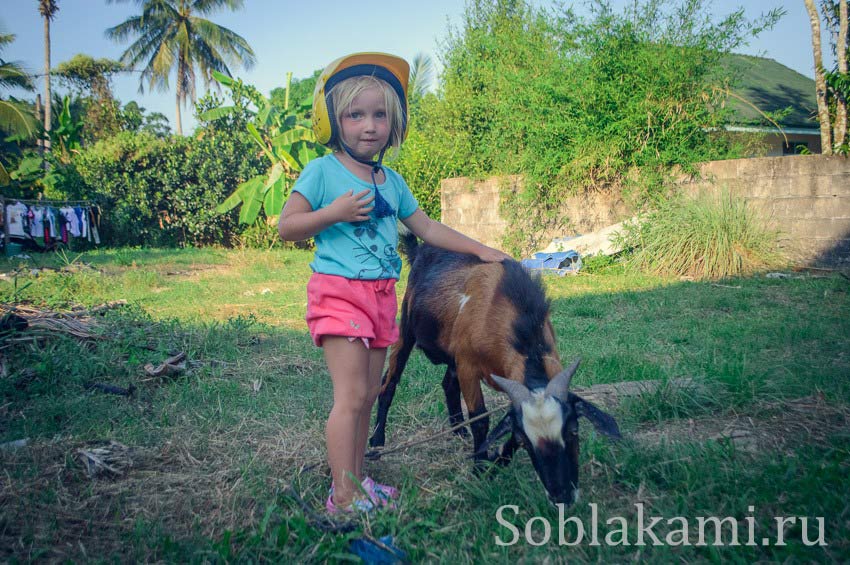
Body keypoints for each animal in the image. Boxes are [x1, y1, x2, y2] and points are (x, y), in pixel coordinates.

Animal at [368, 231, 620, 504]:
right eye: (527, 442)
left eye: (573, 431)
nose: (562, 495)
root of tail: (419, 251)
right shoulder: (468, 365)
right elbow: (480, 419)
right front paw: (480, 467)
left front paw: (497, 462)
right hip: (406, 328)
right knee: (389, 384)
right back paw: (377, 442)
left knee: (447, 384)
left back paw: (458, 430)